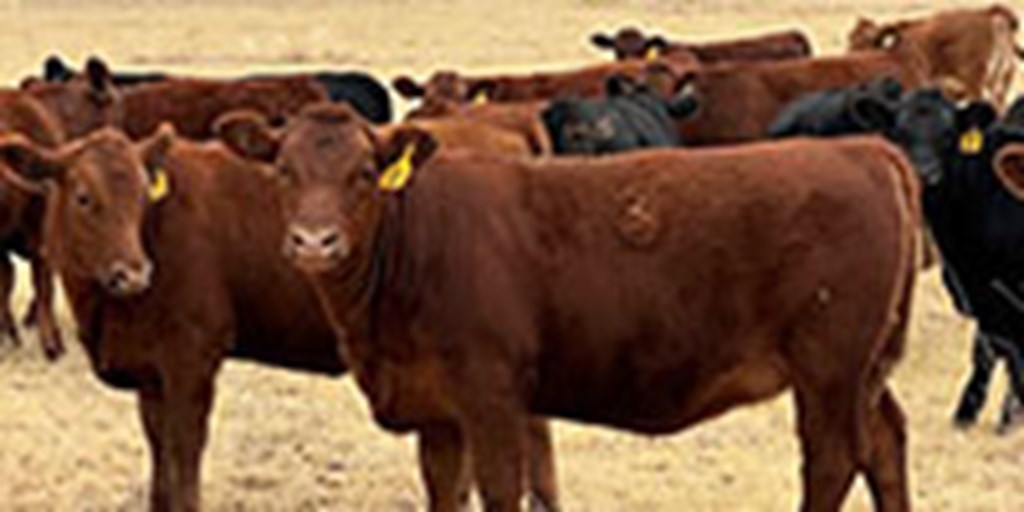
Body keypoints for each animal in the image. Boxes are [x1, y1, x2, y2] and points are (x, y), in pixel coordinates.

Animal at [222, 103, 921, 512]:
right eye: (282, 170)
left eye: (365, 173)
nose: (314, 241)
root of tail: (862, 149)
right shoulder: (437, 411)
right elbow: (446, 493)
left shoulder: (493, 398)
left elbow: (502, 490)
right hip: (866, 369)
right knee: (885, 444)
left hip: (829, 368)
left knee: (832, 460)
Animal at [847, 4, 1024, 108]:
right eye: (851, 37)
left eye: (861, 41)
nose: (848, 56)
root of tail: (986, 13)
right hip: (1000, 84)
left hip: (976, 83)